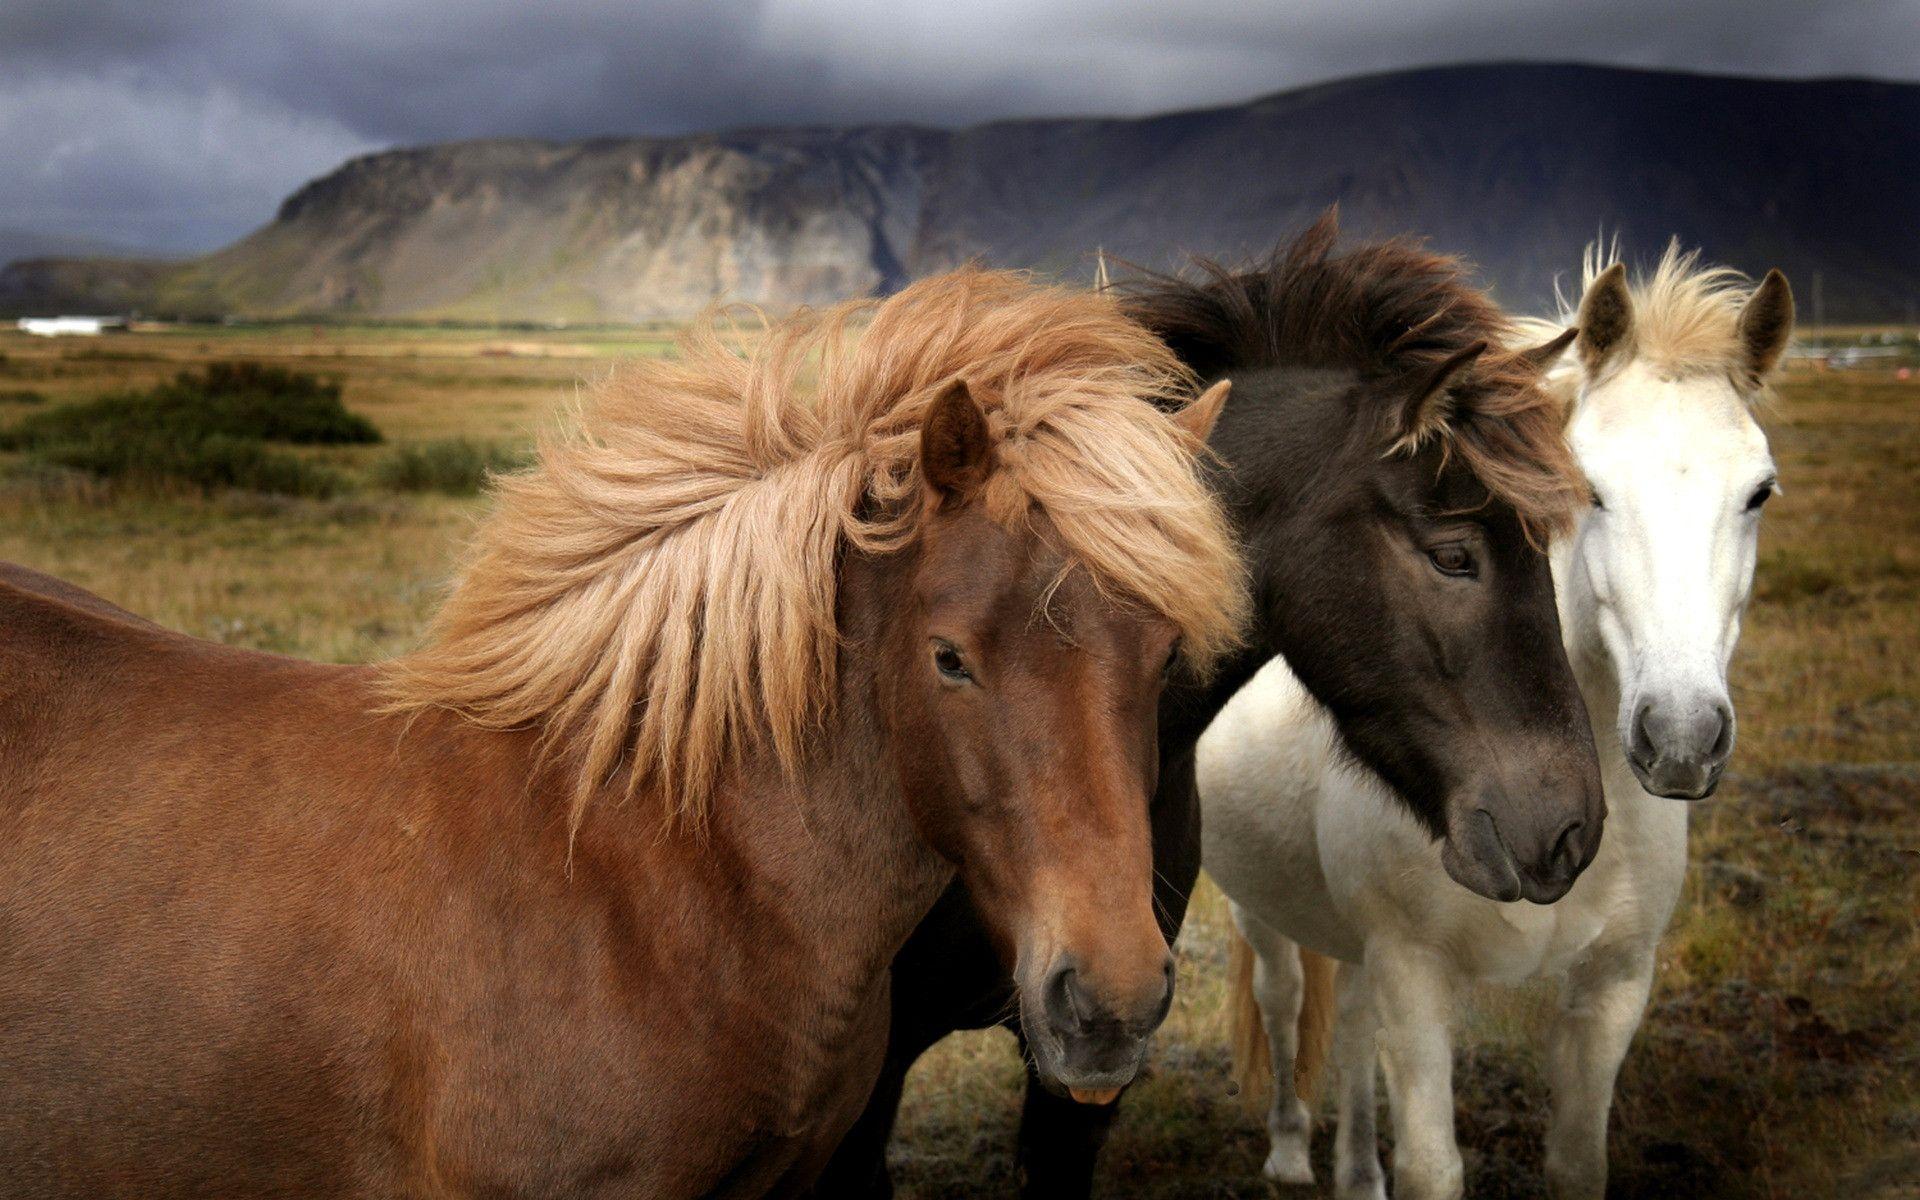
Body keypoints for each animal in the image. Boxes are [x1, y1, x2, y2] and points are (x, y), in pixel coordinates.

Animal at [1204, 246, 1794, 1200]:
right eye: (1590, 490)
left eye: (1760, 493)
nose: (1680, 736)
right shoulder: (1416, 978)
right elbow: (1433, 1167)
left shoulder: (1613, 987)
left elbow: (1577, 1159)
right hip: (1259, 907)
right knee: (1284, 998)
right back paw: (1291, 1152)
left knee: (1351, 1022)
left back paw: (1355, 1171)